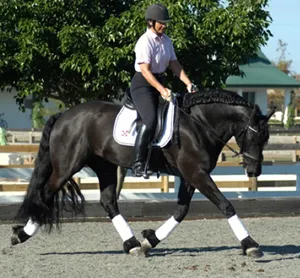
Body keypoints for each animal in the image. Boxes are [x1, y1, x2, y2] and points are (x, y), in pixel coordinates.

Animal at [11, 89, 274, 258]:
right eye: (254, 136)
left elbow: (181, 211)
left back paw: (132, 244)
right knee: (45, 194)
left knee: (108, 202)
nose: (254, 170)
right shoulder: (196, 173)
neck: (199, 124)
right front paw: (250, 244)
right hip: (67, 165)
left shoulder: (190, 175)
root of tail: (64, 115)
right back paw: (21, 235)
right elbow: (225, 205)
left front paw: (150, 240)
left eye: (266, 138)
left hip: (105, 166)